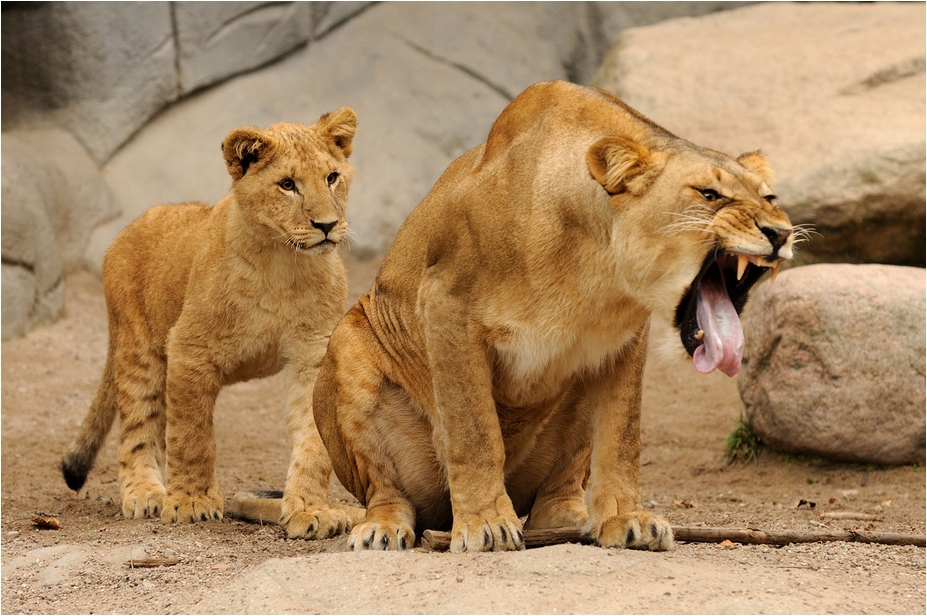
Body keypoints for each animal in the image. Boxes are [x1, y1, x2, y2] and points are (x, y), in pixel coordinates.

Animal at [61, 108, 364, 539]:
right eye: (287, 185)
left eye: (332, 177)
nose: (326, 225)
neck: (283, 265)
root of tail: (131, 225)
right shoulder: (190, 349)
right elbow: (192, 435)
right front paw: (191, 501)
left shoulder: (313, 355)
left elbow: (313, 441)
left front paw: (311, 510)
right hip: (139, 350)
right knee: (138, 429)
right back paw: (147, 494)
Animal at [311, 81, 795, 553]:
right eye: (709, 195)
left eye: (769, 197)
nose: (781, 232)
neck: (596, 265)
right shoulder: (445, 303)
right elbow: (474, 431)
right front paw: (486, 523)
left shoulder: (626, 338)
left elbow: (623, 436)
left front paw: (627, 518)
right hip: (346, 348)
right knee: (388, 492)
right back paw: (384, 529)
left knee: (557, 491)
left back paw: (573, 519)